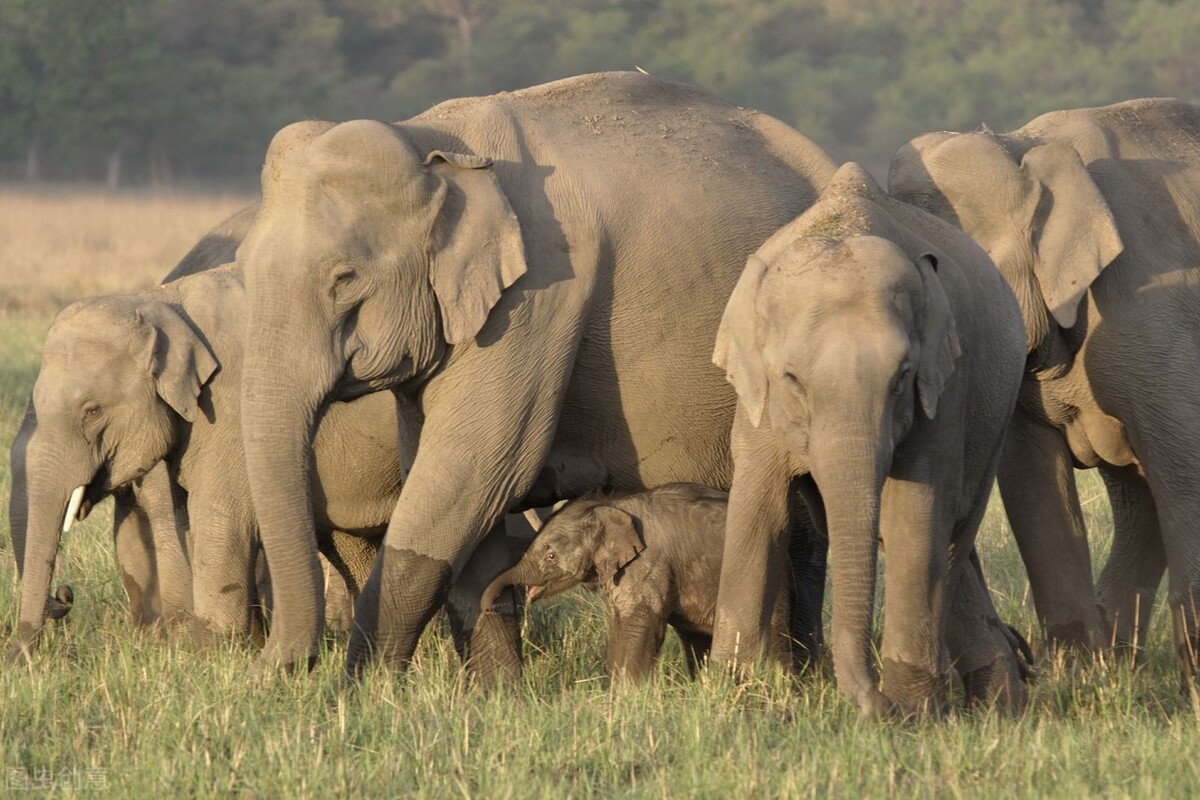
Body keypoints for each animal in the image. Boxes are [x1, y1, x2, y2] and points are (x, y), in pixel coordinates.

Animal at [229, 71, 840, 681]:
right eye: (245, 268)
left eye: (345, 279)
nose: (275, 672)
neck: (433, 140)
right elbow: (460, 489)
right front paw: (498, 692)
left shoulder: (536, 299)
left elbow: (471, 473)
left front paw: (364, 688)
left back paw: (802, 678)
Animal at [705, 164, 1027, 719]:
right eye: (792, 379)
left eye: (901, 378)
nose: (872, 703)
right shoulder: (757, 401)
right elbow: (759, 510)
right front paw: (732, 694)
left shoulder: (945, 389)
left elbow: (912, 514)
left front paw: (913, 713)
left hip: (998, 411)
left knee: (953, 530)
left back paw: (994, 705)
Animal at [888, 97, 1200, 676]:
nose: (1022, 654)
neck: (1025, 147)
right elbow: (1032, 476)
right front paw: (1081, 677)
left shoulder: (1154, 311)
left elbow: (1186, 460)